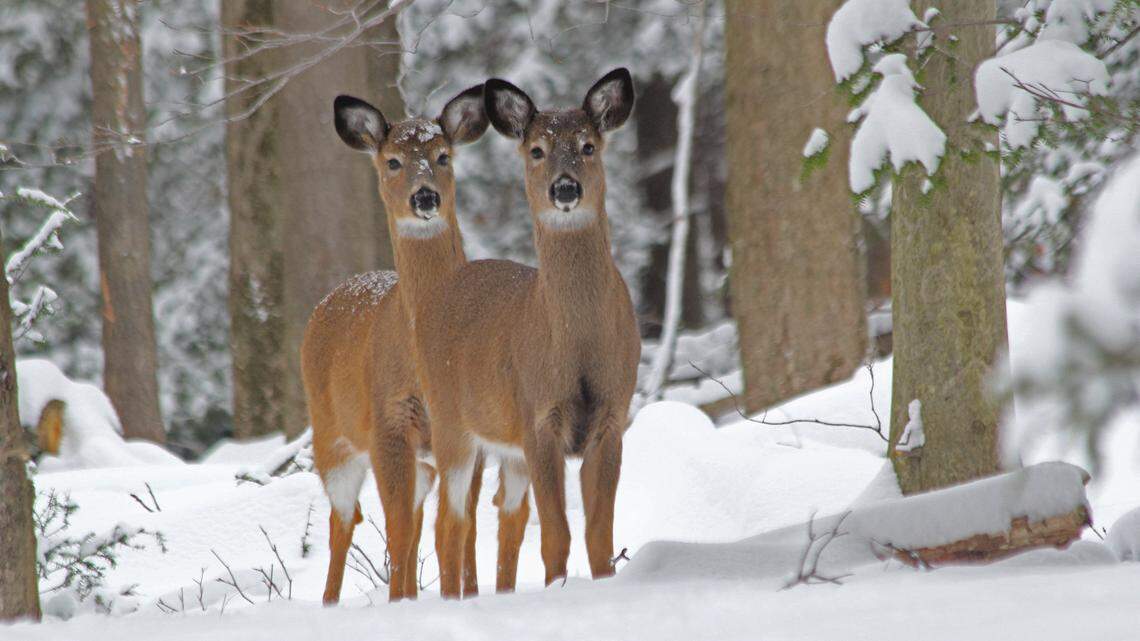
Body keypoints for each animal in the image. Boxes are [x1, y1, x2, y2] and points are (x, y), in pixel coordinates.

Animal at [302, 84, 492, 605]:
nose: (424, 196)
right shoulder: (387, 421)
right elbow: (399, 527)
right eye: (392, 161)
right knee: (344, 522)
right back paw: (331, 603)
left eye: (443, 155)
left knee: (415, 521)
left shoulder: (467, 429)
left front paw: (465, 595)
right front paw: (405, 606)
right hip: (332, 434)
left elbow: (461, 526)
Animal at [413, 68, 641, 597]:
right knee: (449, 521)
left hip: (502, 446)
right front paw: (557, 590)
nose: (565, 188)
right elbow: (556, 533)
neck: (576, 345)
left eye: (587, 145)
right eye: (537, 150)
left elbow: (600, 532)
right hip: (450, 421)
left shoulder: (612, 414)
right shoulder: (539, 415)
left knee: (493, 519)